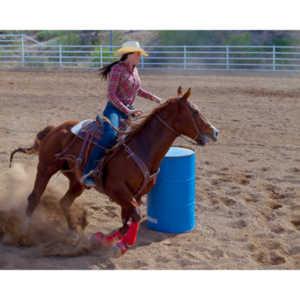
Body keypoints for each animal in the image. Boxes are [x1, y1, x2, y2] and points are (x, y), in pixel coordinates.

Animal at [9, 88, 218, 256]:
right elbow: (135, 215)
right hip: (46, 168)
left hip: (77, 181)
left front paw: (105, 239)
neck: (142, 148)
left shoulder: (136, 195)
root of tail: (55, 128)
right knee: (34, 198)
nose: (215, 132)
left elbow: (127, 220)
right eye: (195, 111)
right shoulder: (117, 190)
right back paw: (24, 235)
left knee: (64, 202)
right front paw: (121, 246)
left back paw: (74, 234)